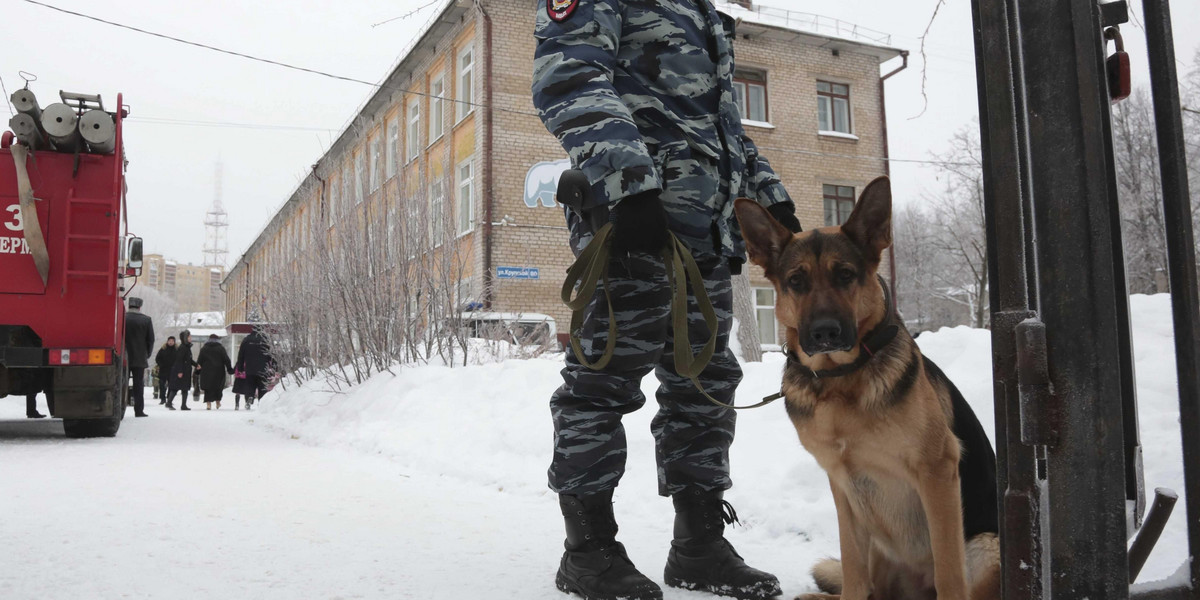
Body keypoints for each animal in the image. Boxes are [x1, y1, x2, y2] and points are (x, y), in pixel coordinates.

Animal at [729, 177, 1003, 600]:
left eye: (845, 275)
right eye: (796, 282)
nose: (825, 333)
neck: (840, 381)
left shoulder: (937, 471)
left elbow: (948, 572)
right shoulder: (842, 486)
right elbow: (853, 571)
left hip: (987, 547)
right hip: (876, 542)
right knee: (864, 585)